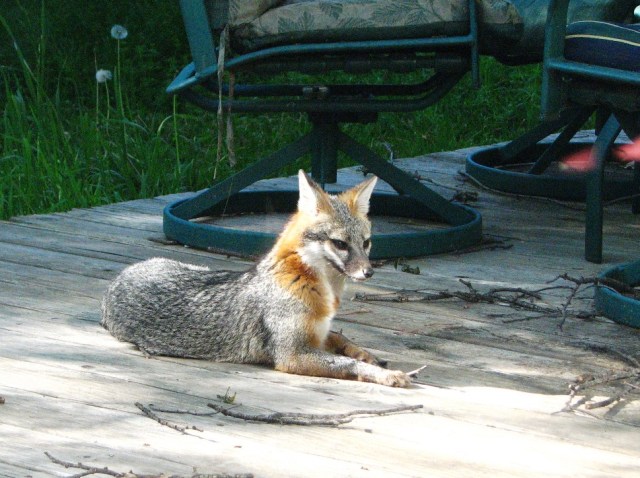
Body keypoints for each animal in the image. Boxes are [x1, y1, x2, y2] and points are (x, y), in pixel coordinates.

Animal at [101, 170, 411, 387]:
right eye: (340, 244)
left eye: (366, 243)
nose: (369, 272)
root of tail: (120, 276)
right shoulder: (292, 354)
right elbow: (345, 363)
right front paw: (383, 373)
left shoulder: (318, 335)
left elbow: (341, 338)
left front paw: (368, 355)